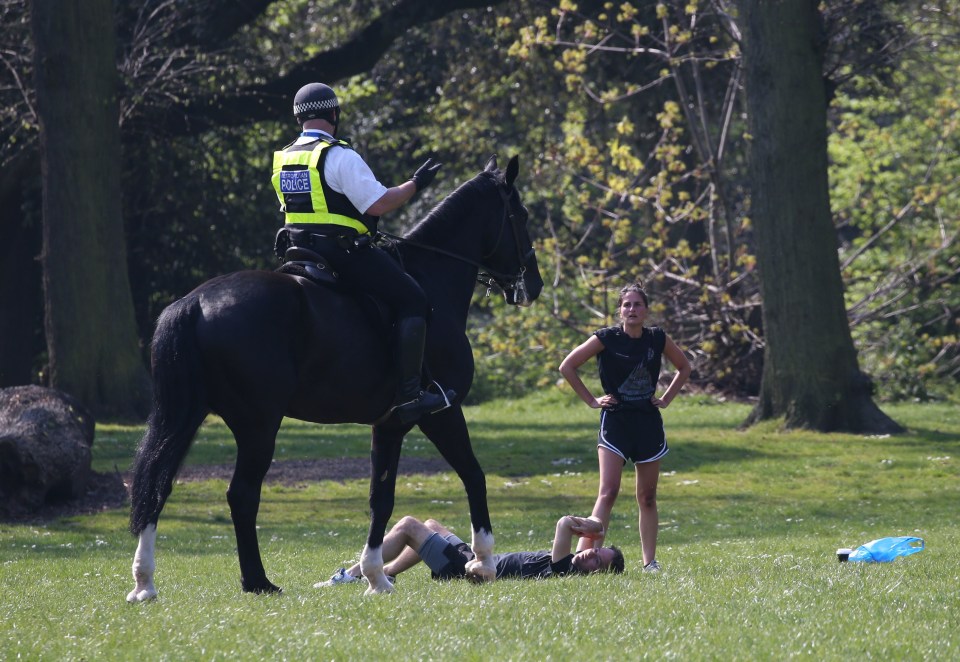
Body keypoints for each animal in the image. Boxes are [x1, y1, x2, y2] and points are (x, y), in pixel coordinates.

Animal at [126, 157, 544, 600]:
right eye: (521, 214)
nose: (533, 284)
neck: (431, 279)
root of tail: (194, 303)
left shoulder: (390, 424)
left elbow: (381, 497)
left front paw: (375, 576)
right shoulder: (440, 412)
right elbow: (473, 476)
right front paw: (482, 562)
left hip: (188, 415)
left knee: (157, 485)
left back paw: (145, 582)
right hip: (258, 425)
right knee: (241, 494)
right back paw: (257, 581)